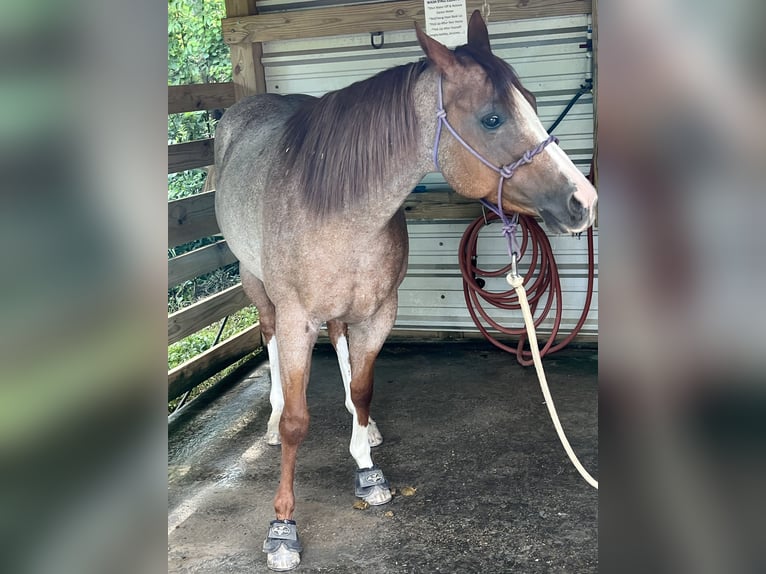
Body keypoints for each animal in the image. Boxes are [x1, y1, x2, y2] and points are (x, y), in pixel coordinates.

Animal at [214, 10, 600, 572]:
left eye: (532, 98)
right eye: (491, 119)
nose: (583, 201)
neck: (337, 207)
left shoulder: (379, 313)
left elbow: (362, 388)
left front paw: (367, 467)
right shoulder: (295, 319)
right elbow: (298, 423)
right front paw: (282, 526)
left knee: (341, 341)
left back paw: (365, 429)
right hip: (254, 282)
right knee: (267, 339)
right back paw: (270, 419)